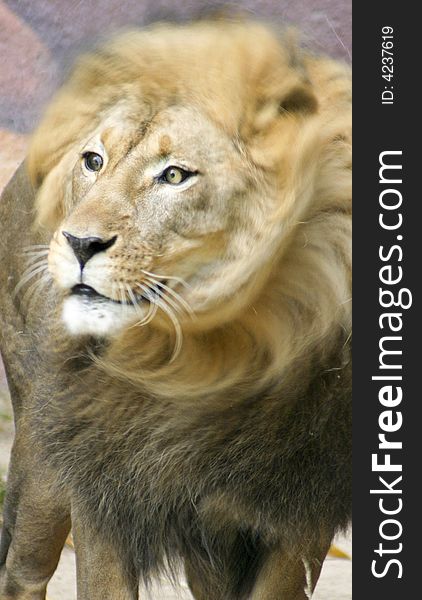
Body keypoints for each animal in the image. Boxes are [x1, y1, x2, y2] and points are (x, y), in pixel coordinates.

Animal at [0, 18, 352, 600]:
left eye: (174, 175)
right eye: (93, 161)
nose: (78, 242)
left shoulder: (300, 508)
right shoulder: (99, 480)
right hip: (40, 458)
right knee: (22, 567)